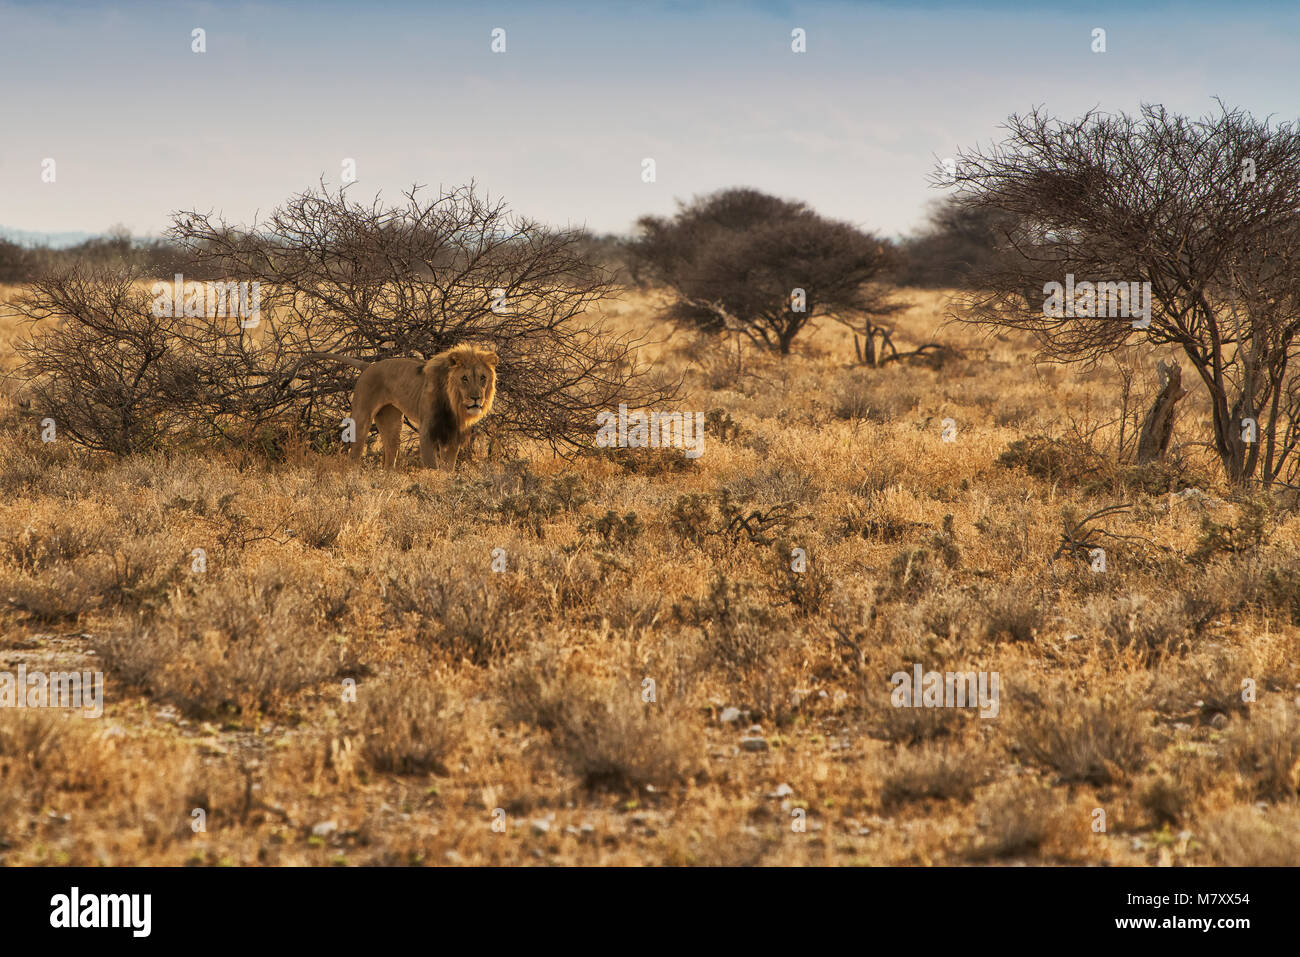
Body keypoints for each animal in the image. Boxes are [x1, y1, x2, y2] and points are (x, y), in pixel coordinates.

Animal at [314, 345, 497, 470]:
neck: (454, 403)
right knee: (355, 455)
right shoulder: (427, 433)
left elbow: (448, 469)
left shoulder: (452, 437)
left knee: (390, 457)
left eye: (482, 378)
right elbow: (432, 466)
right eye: (464, 378)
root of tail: (369, 365)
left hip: (391, 421)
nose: (476, 398)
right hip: (361, 418)